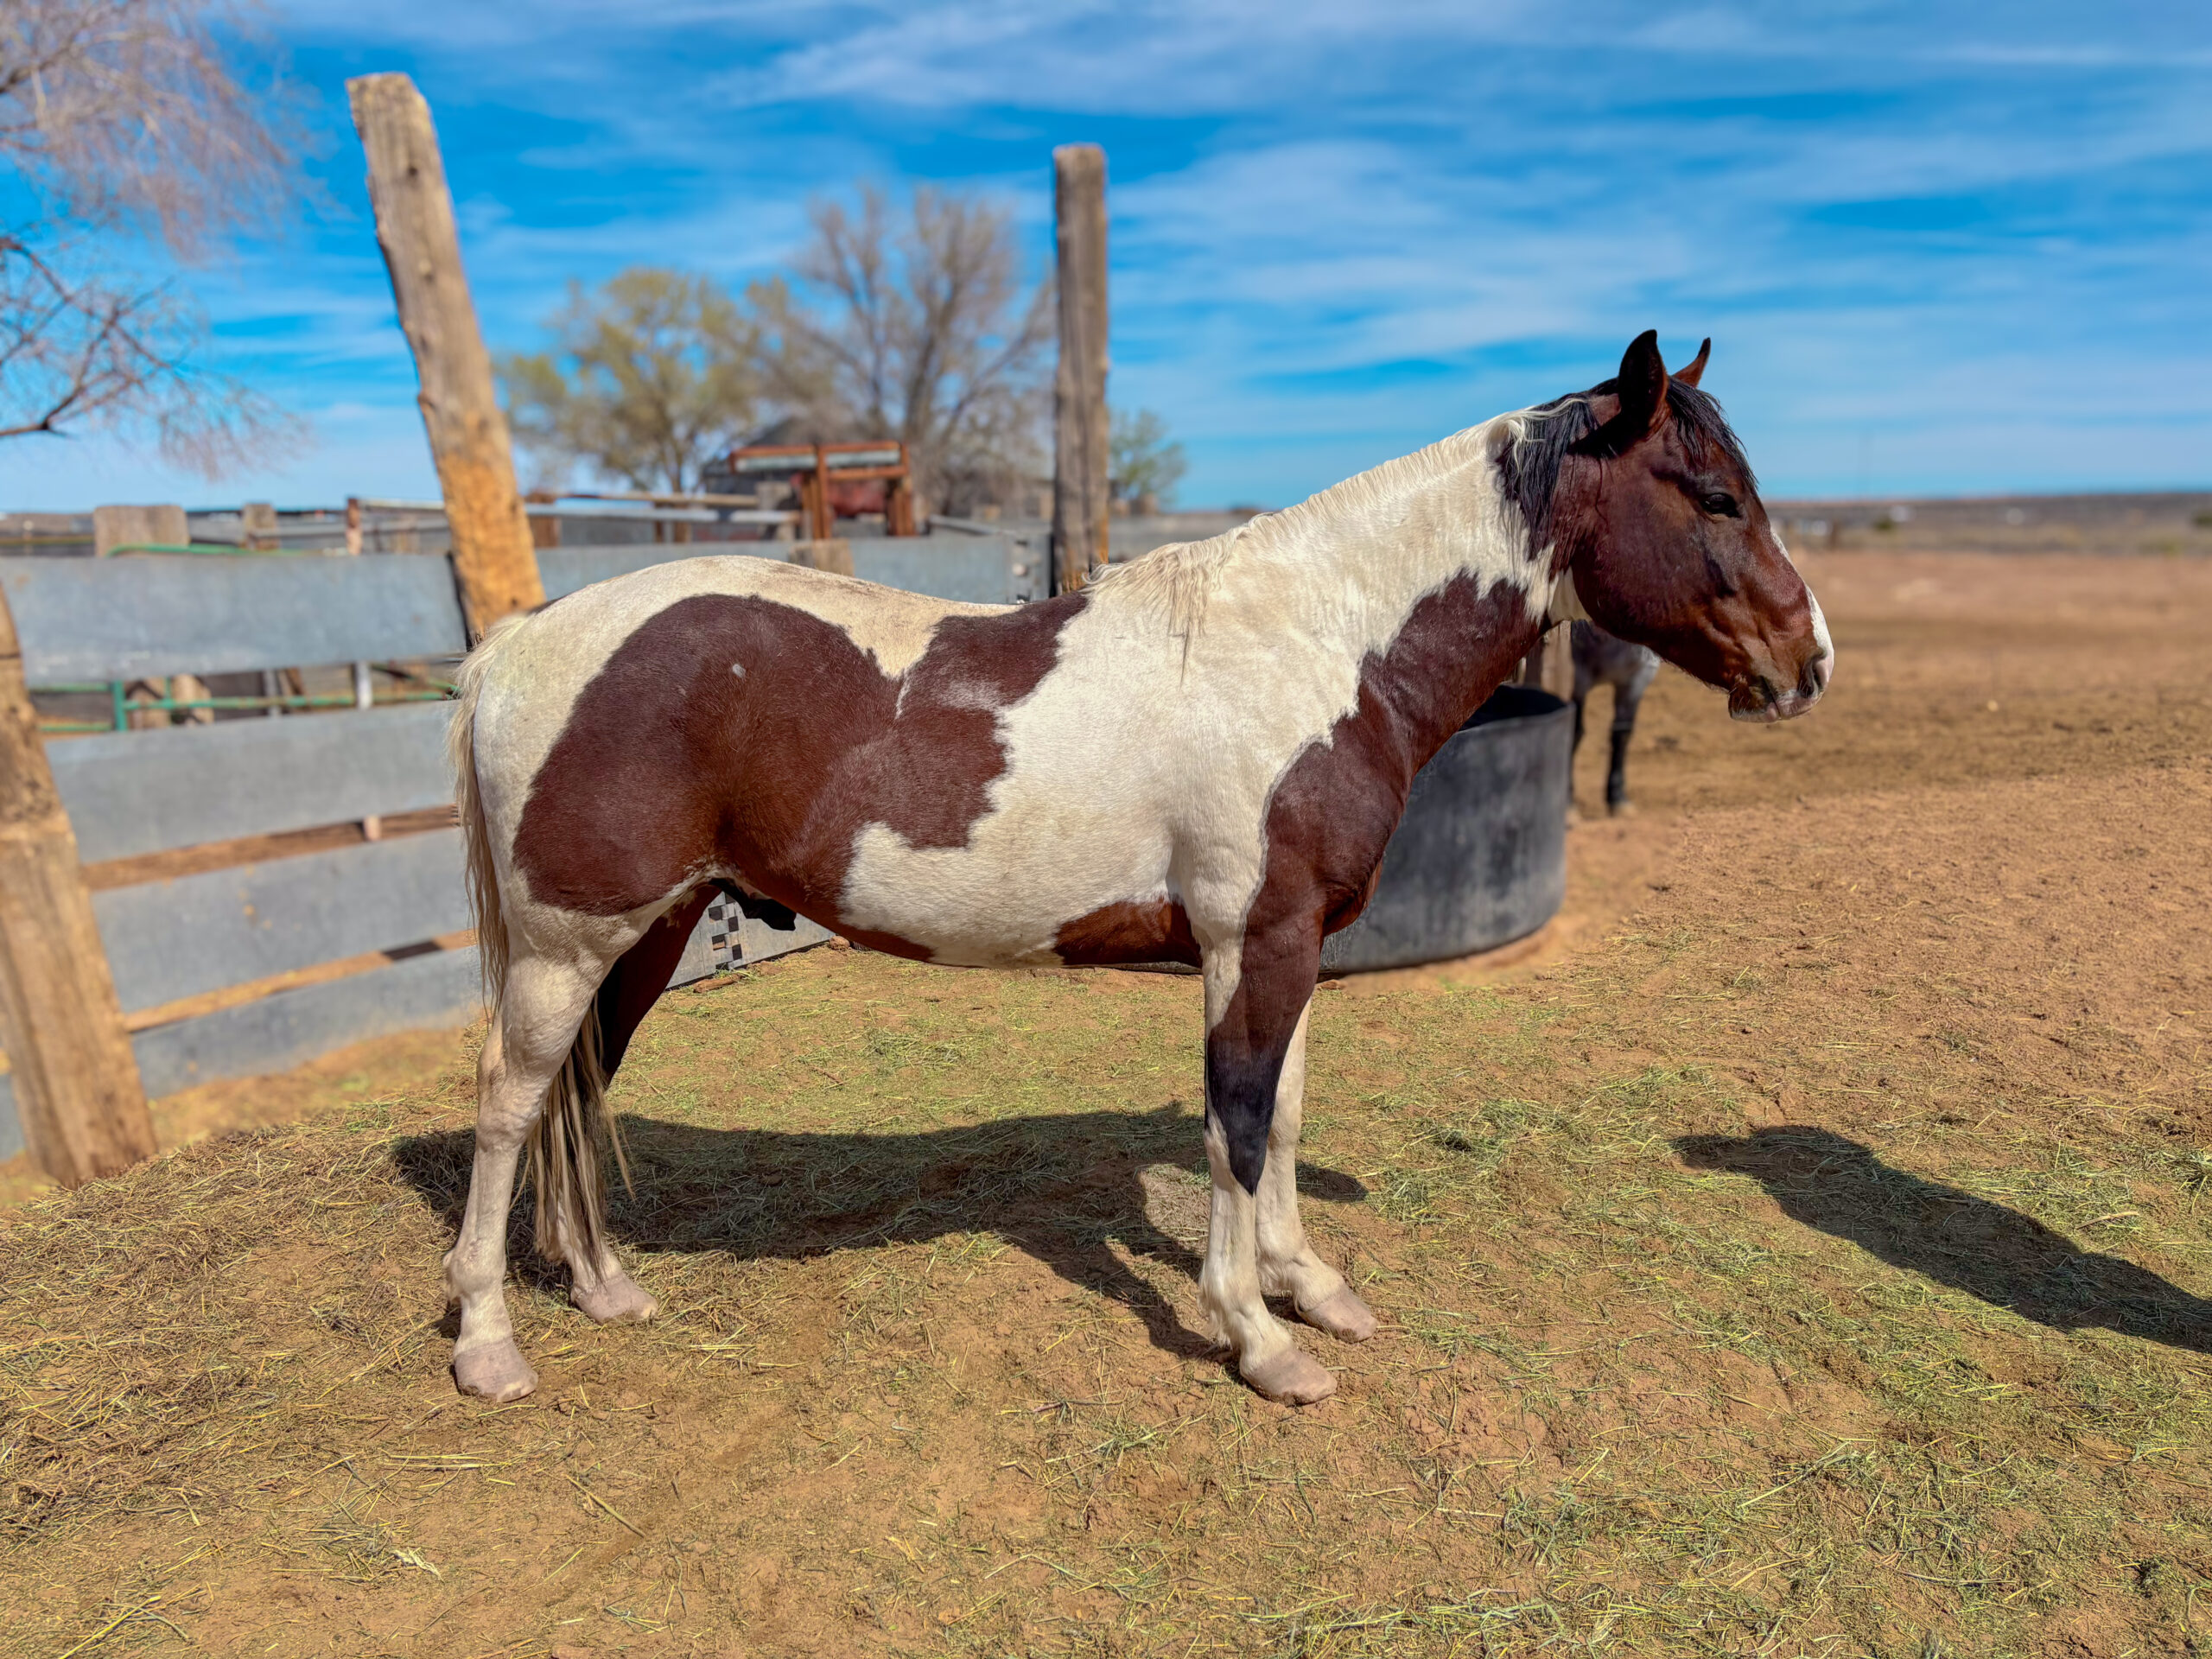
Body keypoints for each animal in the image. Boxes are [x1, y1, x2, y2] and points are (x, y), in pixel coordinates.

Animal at [1570, 621, 1661, 814]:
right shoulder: (1577, 678)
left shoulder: (1636, 679)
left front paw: (1617, 798)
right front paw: (1569, 803)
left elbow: (1622, 735)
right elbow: (1574, 733)